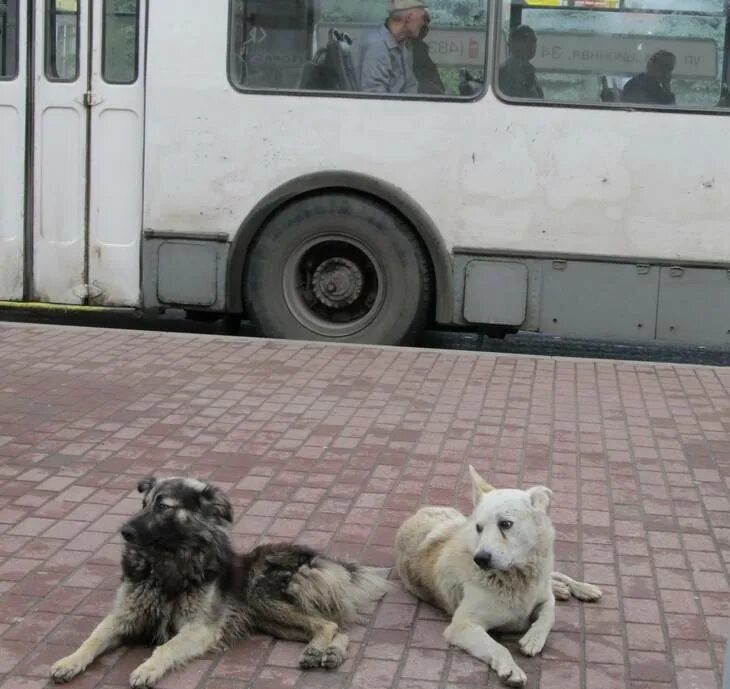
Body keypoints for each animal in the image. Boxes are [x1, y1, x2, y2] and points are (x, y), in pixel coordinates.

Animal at [396, 464, 600, 684]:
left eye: (505, 524)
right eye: (479, 527)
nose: (480, 559)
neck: (515, 579)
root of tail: (419, 512)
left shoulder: (543, 597)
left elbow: (549, 614)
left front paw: (534, 638)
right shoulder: (462, 626)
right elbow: (499, 648)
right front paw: (510, 668)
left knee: (556, 575)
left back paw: (581, 588)